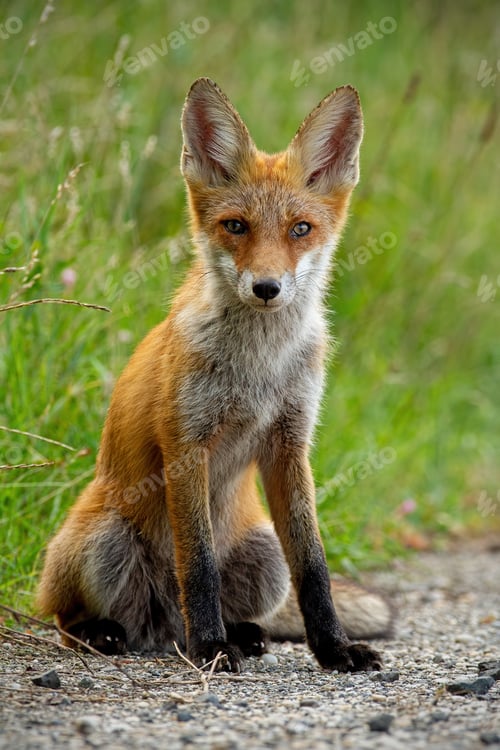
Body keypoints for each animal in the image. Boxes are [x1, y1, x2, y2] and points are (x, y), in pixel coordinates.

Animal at [37, 78, 393, 672]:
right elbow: (197, 564)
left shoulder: (291, 443)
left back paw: (244, 635)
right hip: (105, 540)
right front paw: (211, 648)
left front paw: (333, 648)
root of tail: (163, 630)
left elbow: (315, 569)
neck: (259, 369)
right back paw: (123, 635)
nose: (267, 288)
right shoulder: (186, 444)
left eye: (301, 229)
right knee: (68, 618)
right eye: (236, 227)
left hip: (265, 555)